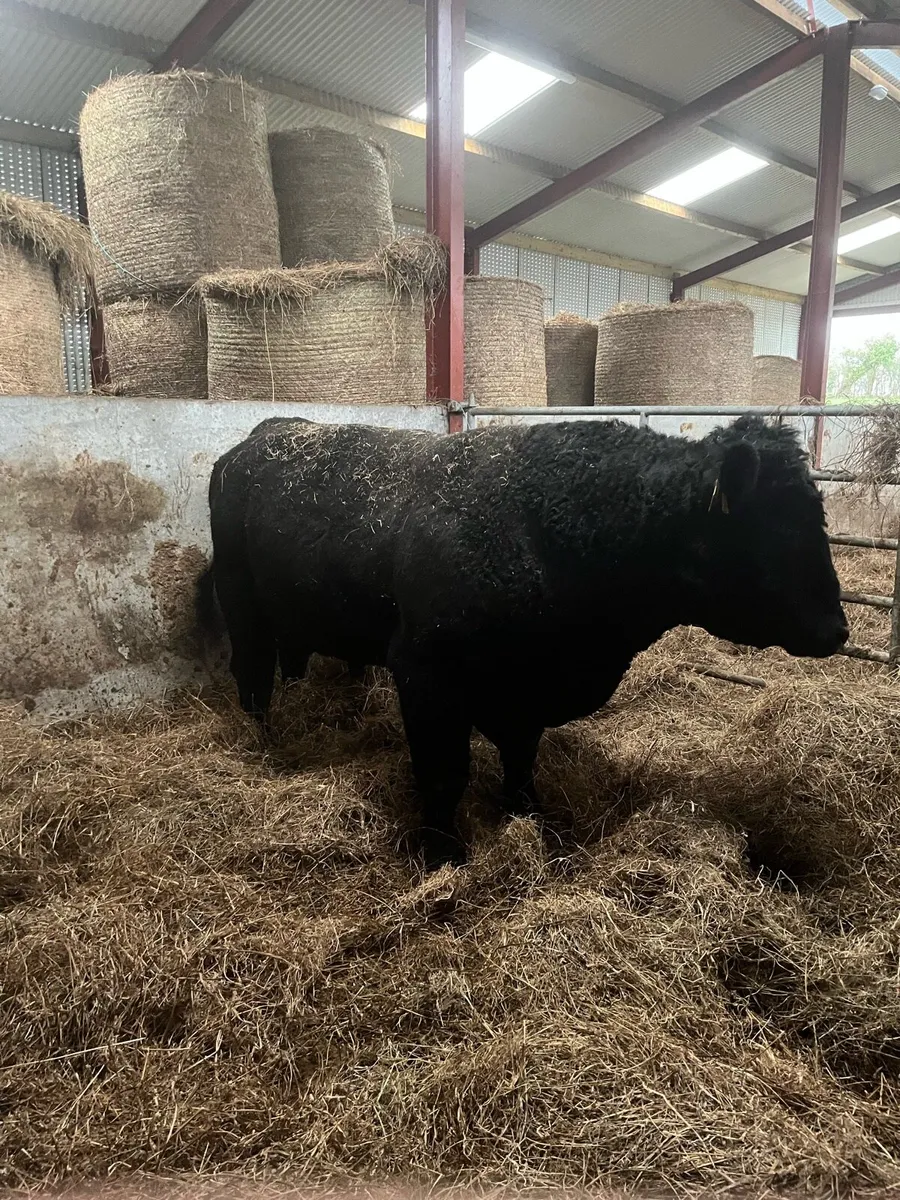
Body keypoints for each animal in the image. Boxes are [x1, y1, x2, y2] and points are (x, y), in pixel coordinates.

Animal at [200, 413, 848, 868]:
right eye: (778, 527)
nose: (838, 629)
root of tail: (263, 436)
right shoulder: (425, 671)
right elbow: (444, 772)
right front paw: (441, 854)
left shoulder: (526, 691)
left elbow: (521, 756)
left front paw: (529, 816)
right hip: (240, 602)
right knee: (252, 677)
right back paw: (264, 744)